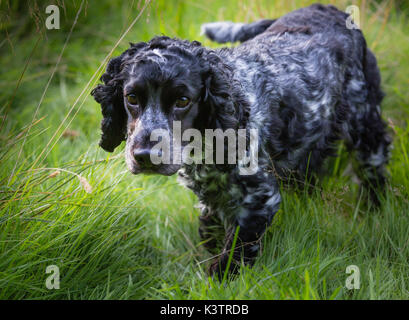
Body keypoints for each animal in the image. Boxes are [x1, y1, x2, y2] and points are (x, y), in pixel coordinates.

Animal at [91, 3, 390, 278]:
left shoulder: (258, 197)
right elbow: (210, 230)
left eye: (183, 100)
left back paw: (375, 212)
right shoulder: (211, 194)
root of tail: (327, 8)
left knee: (373, 168)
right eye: (131, 97)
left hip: (364, 120)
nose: (143, 156)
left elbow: (233, 252)